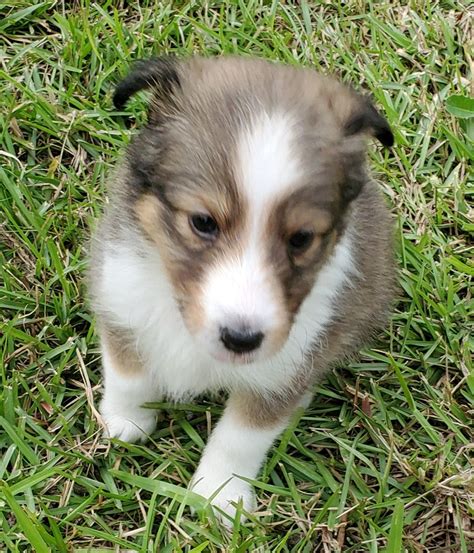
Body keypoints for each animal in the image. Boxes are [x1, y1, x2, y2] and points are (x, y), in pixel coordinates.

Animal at [89, 55, 396, 520]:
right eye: (202, 221)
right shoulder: (121, 294)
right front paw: (125, 423)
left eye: (301, 239)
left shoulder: (281, 368)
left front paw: (219, 495)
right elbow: (128, 373)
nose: (241, 339)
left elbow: (242, 435)